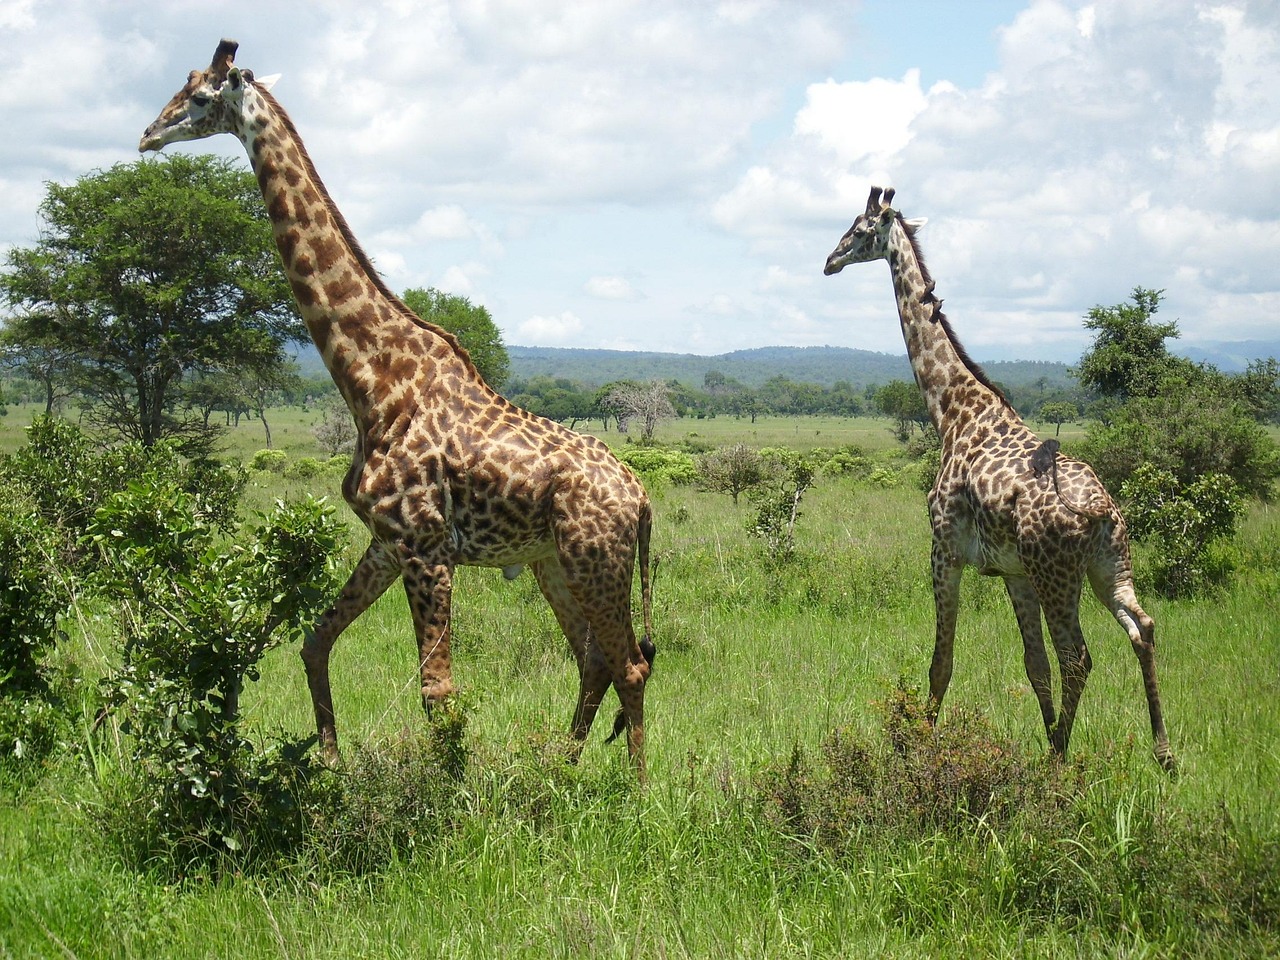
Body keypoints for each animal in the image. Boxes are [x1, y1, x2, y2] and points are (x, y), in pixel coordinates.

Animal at [140, 40, 655, 774]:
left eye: (203, 97)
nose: (148, 135)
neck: (374, 384)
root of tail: (642, 501)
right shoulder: (387, 542)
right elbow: (315, 641)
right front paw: (330, 762)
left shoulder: (427, 547)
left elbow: (438, 691)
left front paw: (447, 796)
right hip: (552, 561)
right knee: (595, 660)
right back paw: (561, 768)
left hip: (596, 560)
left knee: (629, 665)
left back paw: (634, 790)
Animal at [824, 187, 1174, 773]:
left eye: (859, 228)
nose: (829, 261)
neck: (951, 409)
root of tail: (1102, 512)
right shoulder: (1013, 572)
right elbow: (1033, 665)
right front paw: (1049, 737)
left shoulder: (944, 551)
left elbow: (941, 661)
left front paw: (924, 747)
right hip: (1108, 567)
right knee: (1141, 628)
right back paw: (1161, 754)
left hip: (1059, 574)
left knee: (1078, 656)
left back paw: (1062, 764)